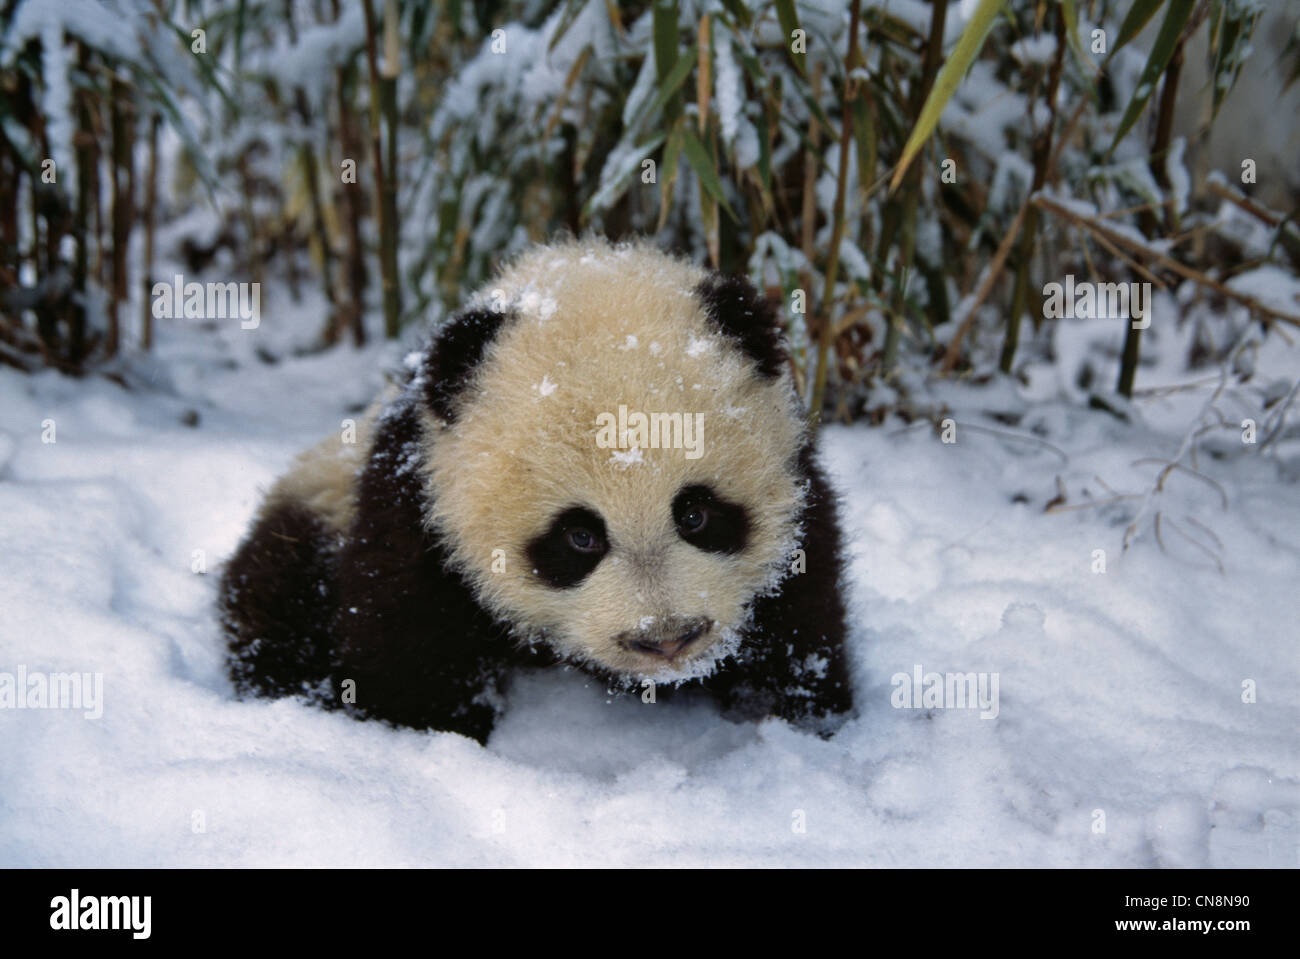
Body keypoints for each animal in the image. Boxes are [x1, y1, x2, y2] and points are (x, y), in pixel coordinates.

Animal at [218, 237, 853, 743]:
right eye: (579, 536)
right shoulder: (419, 505)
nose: (667, 640)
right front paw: (428, 734)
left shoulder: (800, 495)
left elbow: (802, 623)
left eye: (695, 514)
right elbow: (404, 648)